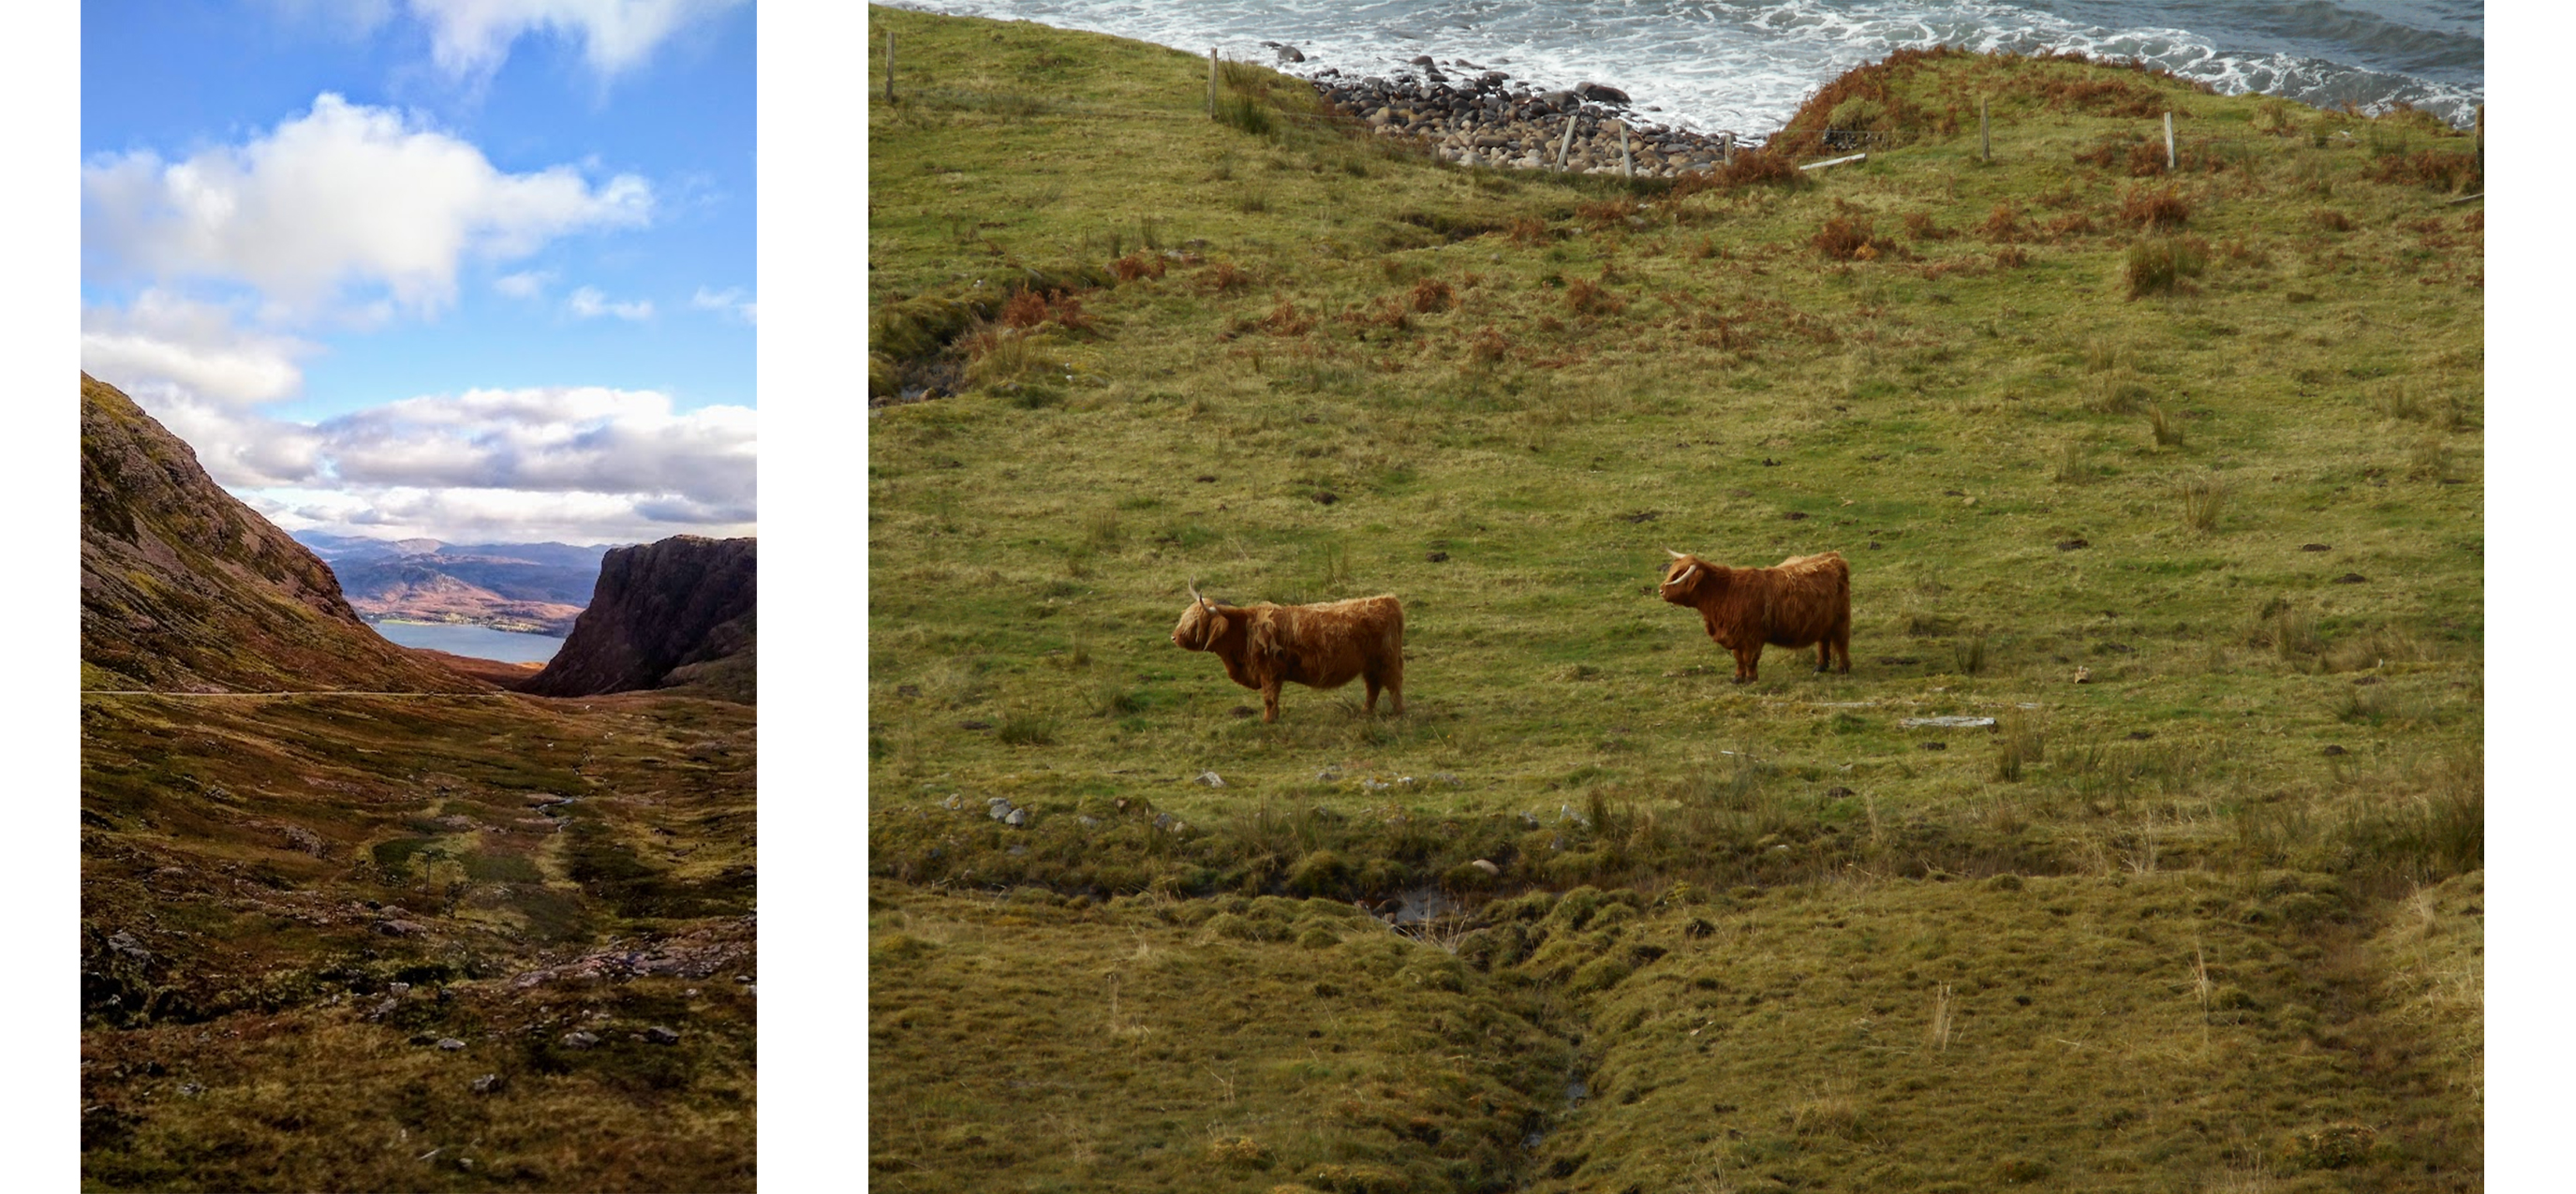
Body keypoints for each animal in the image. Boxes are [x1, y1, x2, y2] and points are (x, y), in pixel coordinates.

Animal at [1175, 583, 1412, 720]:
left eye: (1195, 622)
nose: (1174, 637)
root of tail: (1388, 600)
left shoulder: (1269, 671)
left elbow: (1270, 698)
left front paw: (1269, 720)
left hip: (1387, 660)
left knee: (1394, 685)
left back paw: (1399, 713)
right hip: (1370, 665)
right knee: (1373, 687)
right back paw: (1365, 713)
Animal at [1669, 551, 1855, 679]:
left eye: (1680, 576)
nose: (1663, 590)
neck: (1725, 592)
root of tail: (1833, 557)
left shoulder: (1752, 637)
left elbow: (1750, 659)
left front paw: (1751, 679)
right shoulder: (1734, 635)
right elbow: (1739, 659)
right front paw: (1737, 678)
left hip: (1841, 620)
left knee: (1841, 643)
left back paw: (1843, 669)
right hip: (1823, 621)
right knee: (1823, 641)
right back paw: (1820, 666)